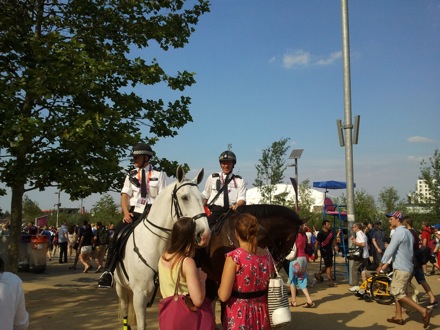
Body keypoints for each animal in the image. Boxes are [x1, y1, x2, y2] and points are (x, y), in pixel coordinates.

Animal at [113, 166, 210, 328]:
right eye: (185, 198)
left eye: (202, 199)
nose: (205, 235)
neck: (154, 244)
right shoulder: (139, 296)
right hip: (121, 287)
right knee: (125, 308)